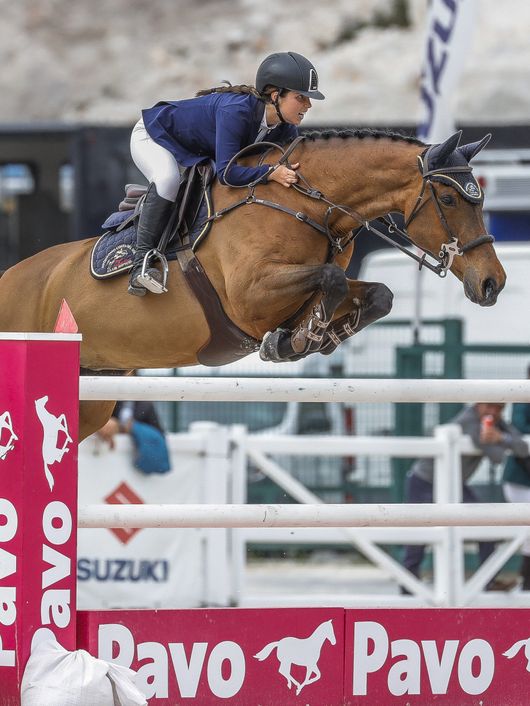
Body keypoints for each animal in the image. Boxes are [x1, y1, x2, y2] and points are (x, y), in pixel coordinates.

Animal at [0, 129, 504, 438]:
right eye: (448, 199)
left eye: (479, 199)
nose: (492, 283)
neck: (306, 202)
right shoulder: (250, 297)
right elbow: (331, 279)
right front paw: (295, 340)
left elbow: (376, 293)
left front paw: (312, 336)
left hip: (93, 395)